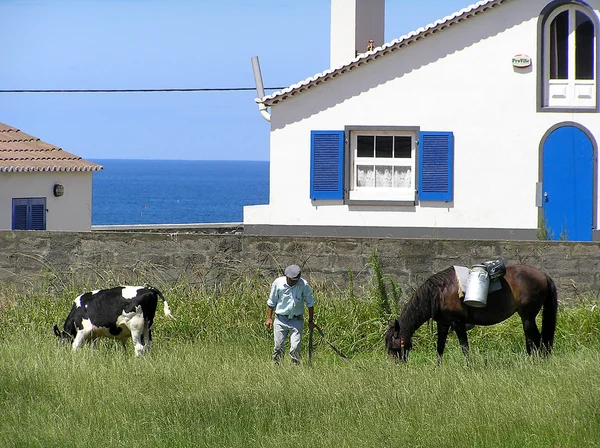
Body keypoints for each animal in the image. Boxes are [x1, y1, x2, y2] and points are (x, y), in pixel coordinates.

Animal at [384, 264, 556, 362]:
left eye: (393, 346)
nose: (395, 366)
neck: (440, 293)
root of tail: (544, 276)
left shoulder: (458, 323)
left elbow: (464, 347)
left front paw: (469, 366)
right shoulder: (443, 324)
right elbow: (440, 347)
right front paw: (437, 368)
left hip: (527, 316)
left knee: (535, 338)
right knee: (531, 339)